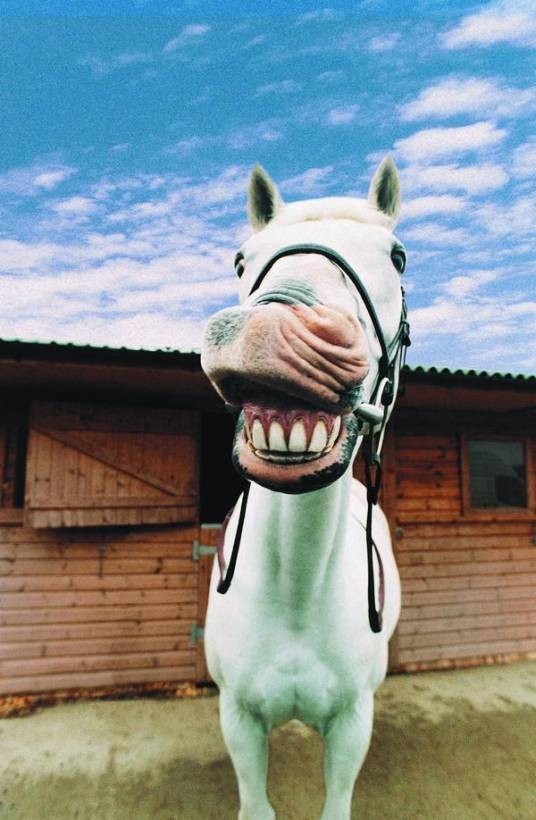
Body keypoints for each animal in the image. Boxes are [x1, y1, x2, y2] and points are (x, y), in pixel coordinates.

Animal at [200, 156, 409, 820]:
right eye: (241, 260)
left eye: (398, 256)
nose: (271, 333)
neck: (295, 588)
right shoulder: (238, 720)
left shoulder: (350, 726)